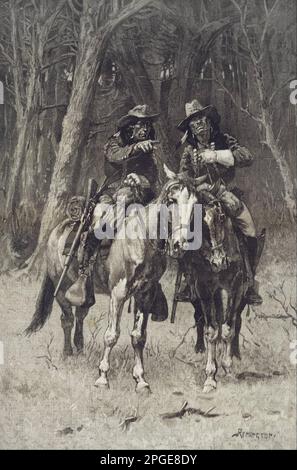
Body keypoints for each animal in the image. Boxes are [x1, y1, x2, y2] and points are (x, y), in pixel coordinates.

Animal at [24, 166, 206, 392]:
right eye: (172, 200)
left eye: (195, 203)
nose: (181, 244)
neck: (141, 239)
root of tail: (58, 229)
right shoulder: (118, 294)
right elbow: (111, 335)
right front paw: (102, 377)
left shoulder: (145, 295)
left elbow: (138, 337)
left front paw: (141, 380)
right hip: (62, 289)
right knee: (66, 319)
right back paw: (67, 353)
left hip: (86, 293)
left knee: (80, 315)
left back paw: (80, 348)